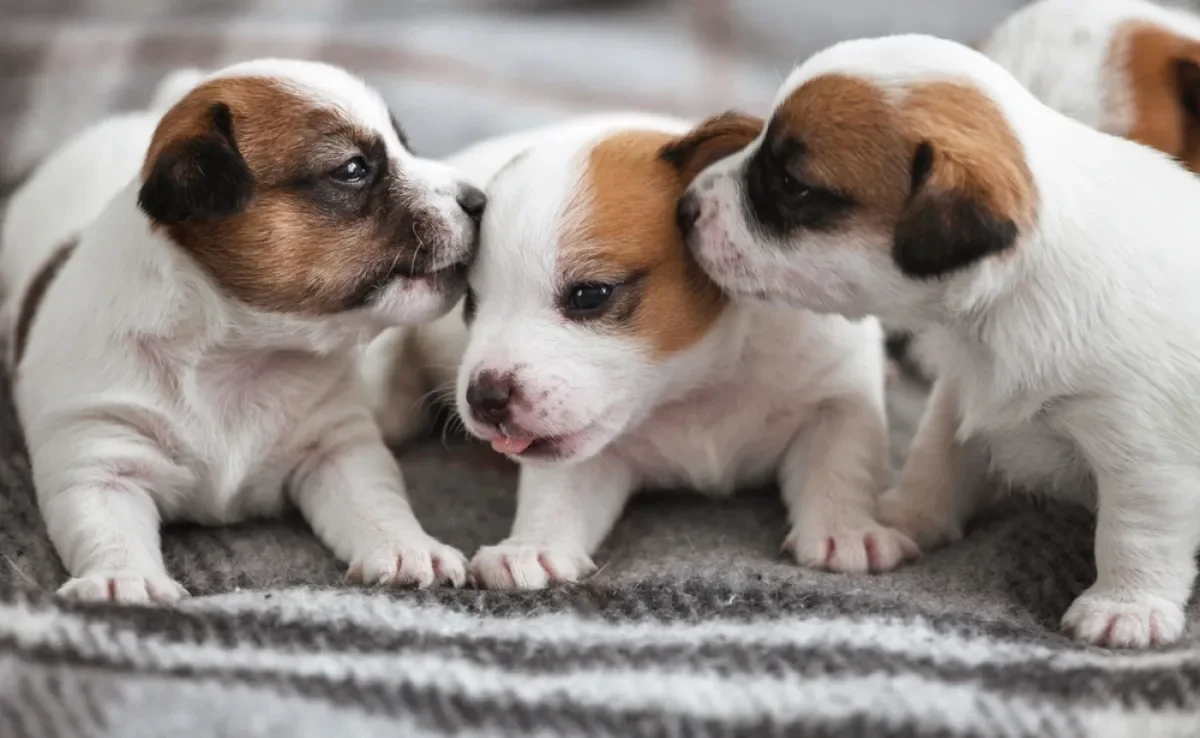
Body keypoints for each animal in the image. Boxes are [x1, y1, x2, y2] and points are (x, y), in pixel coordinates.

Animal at [4, 56, 484, 600]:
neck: (240, 356)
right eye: (353, 169)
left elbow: (376, 501)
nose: (480, 200)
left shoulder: (338, 446)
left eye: (407, 144)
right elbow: (109, 529)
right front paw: (124, 580)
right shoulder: (99, 454)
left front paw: (408, 547)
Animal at [676, 36, 1200, 648]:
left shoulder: (1143, 450)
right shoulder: (960, 391)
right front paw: (899, 516)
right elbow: (937, 458)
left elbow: (1134, 532)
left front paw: (1126, 606)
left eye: (792, 184)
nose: (683, 208)